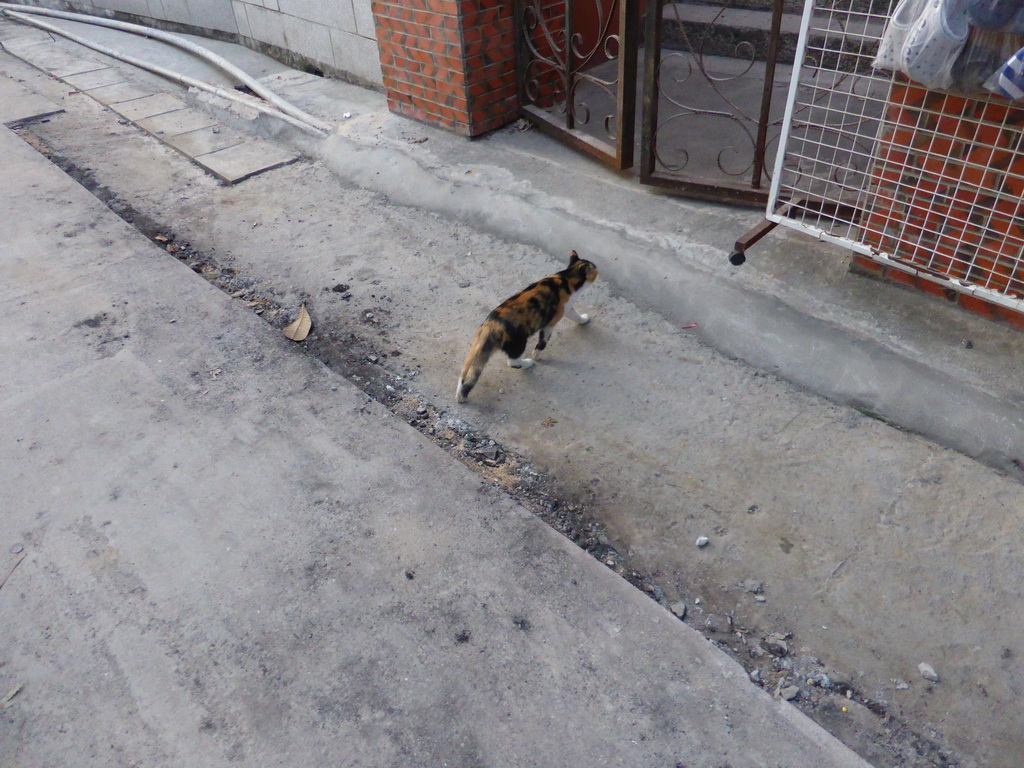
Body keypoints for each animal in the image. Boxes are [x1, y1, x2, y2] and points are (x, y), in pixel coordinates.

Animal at [458, 252, 598, 405]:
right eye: (595, 268)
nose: (598, 269)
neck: (566, 277)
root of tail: (491, 325)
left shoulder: (566, 310)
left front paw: (583, 320)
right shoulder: (552, 321)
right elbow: (544, 341)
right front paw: (536, 355)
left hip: (475, 349)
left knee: (464, 373)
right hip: (518, 342)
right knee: (512, 362)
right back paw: (527, 363)